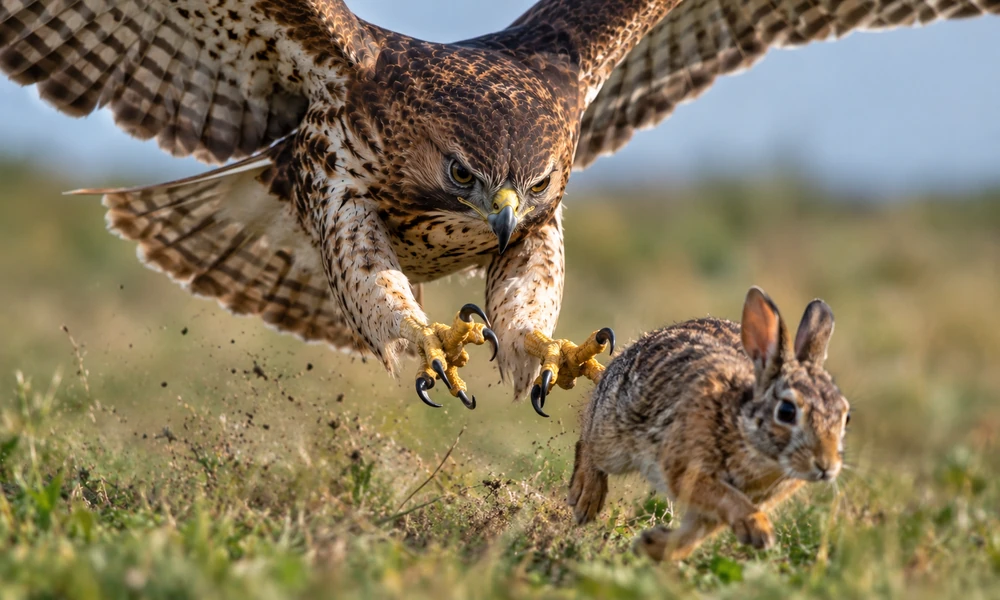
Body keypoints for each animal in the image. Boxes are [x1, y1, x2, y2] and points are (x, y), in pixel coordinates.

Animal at [568, 286, 850, 561]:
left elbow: (695, 534)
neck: (741, 425)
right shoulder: (686, 468)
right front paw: (760, 529)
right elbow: (726, 497)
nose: (826, 466)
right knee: (588, 443)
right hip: (615, 433)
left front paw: (651, 546)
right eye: (787, 411)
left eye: (846, 416)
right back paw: (585, 499)